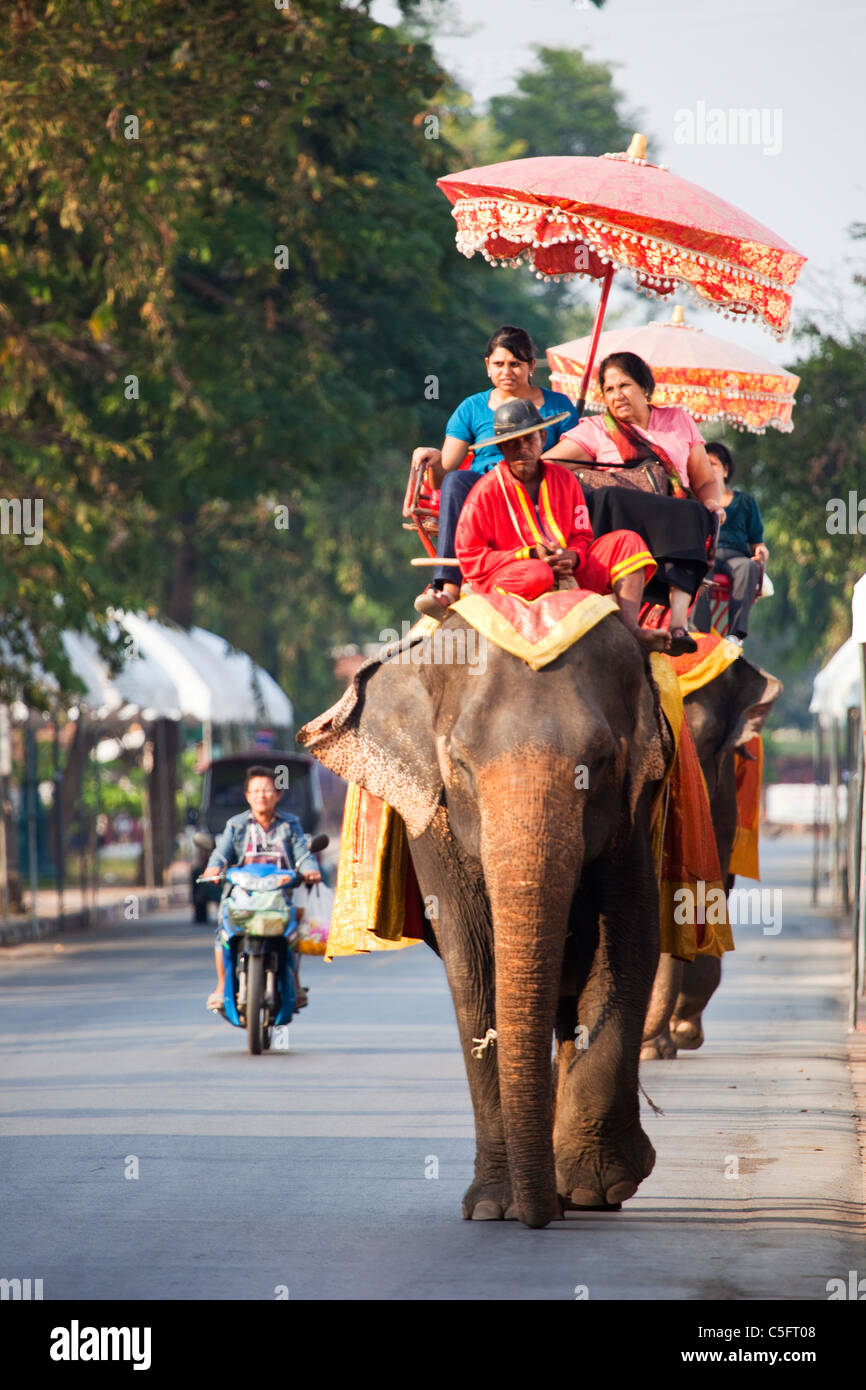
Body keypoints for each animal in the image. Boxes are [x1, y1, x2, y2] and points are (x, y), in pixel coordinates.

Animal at [298, 611, 672, 1229]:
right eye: (462, 767)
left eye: (600, 762)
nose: (542, 1219)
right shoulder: (433, 819)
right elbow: (473, 962)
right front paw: (497, 1207)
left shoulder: (634, 811)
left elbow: (627, 946)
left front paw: (596, 1189)